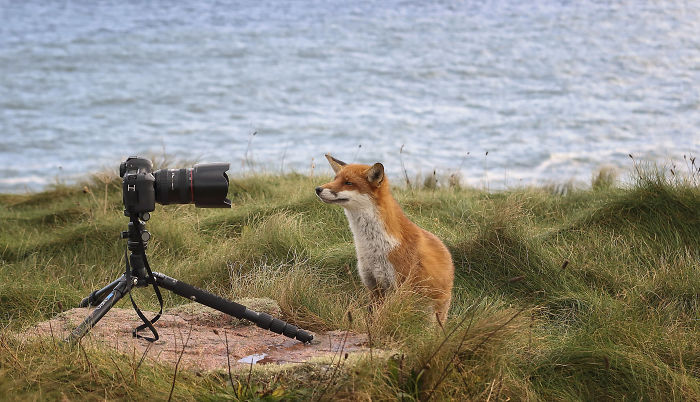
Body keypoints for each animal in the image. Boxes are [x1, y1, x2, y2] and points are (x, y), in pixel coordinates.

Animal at [315, 154, 454, 323]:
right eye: (335, 179)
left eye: (348, 183)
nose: (318, 189)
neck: (372, 246)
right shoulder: (373, 285)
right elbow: (372, 317)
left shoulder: (399, 287)